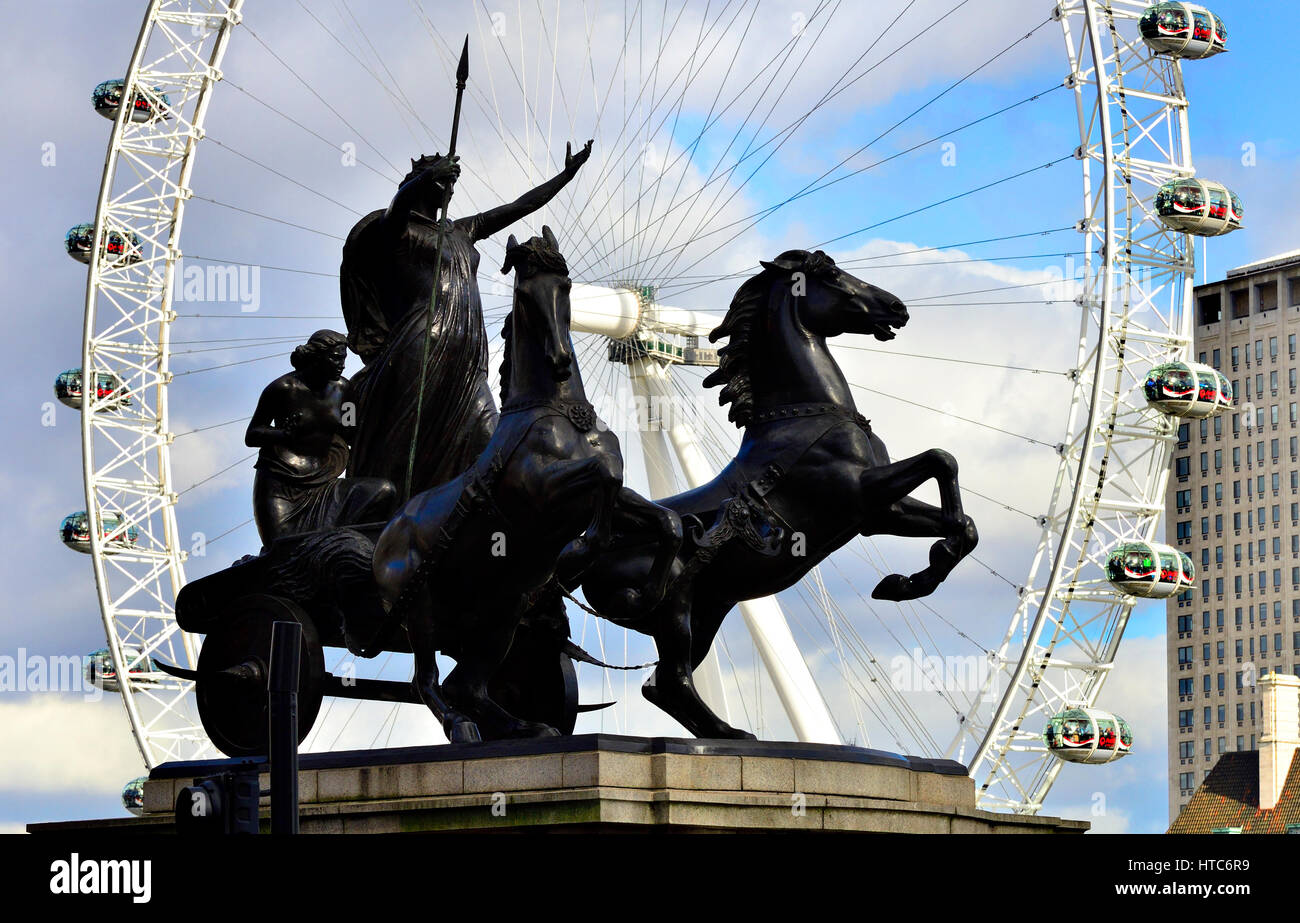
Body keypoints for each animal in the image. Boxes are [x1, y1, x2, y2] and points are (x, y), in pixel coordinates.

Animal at [577, 249, 977, 743]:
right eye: (831, 275)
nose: (896, 307)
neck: (802, 414)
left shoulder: (878, 513)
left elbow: (962, 515)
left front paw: (911, 580)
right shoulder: (860, 491)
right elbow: (942, 459)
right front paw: (918, 573)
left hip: (709, 609)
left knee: (664, 685)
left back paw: (726, 733)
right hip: (674, 604)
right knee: (670, 679)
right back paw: (728, 737)